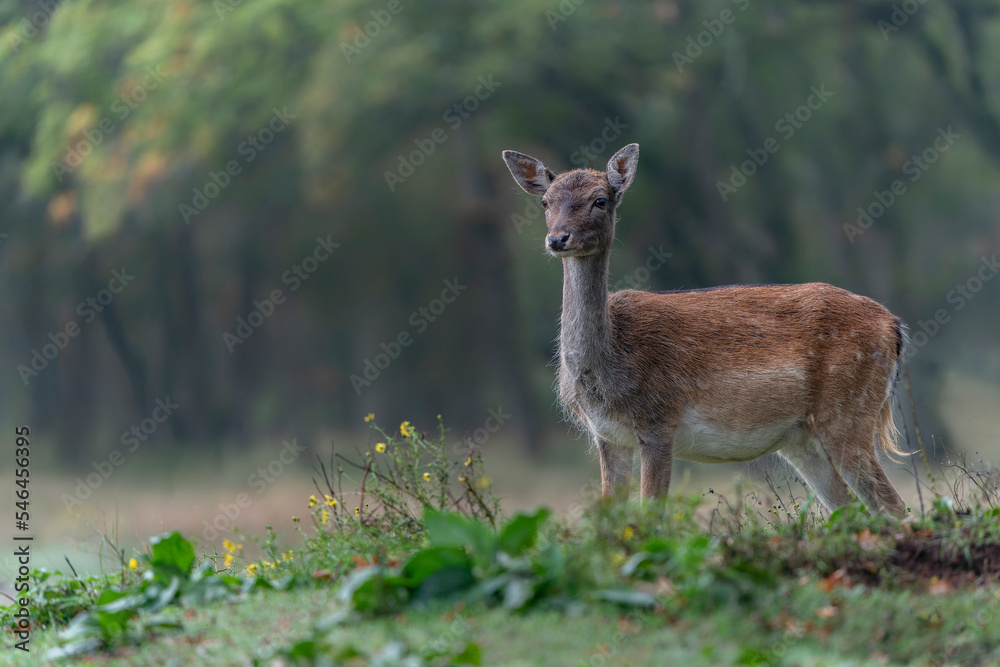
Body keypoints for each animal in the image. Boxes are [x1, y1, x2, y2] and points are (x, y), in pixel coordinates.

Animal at [504, 141, 912, 516]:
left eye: (600, 200)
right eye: (545, 203)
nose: (558, 238)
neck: (605, 366)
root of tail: (893, 327)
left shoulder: (657, 422)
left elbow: (651, 514)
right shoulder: (606, 436)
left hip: (847, 412)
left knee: (893, 506)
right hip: (802, 439)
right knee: (851, 509)